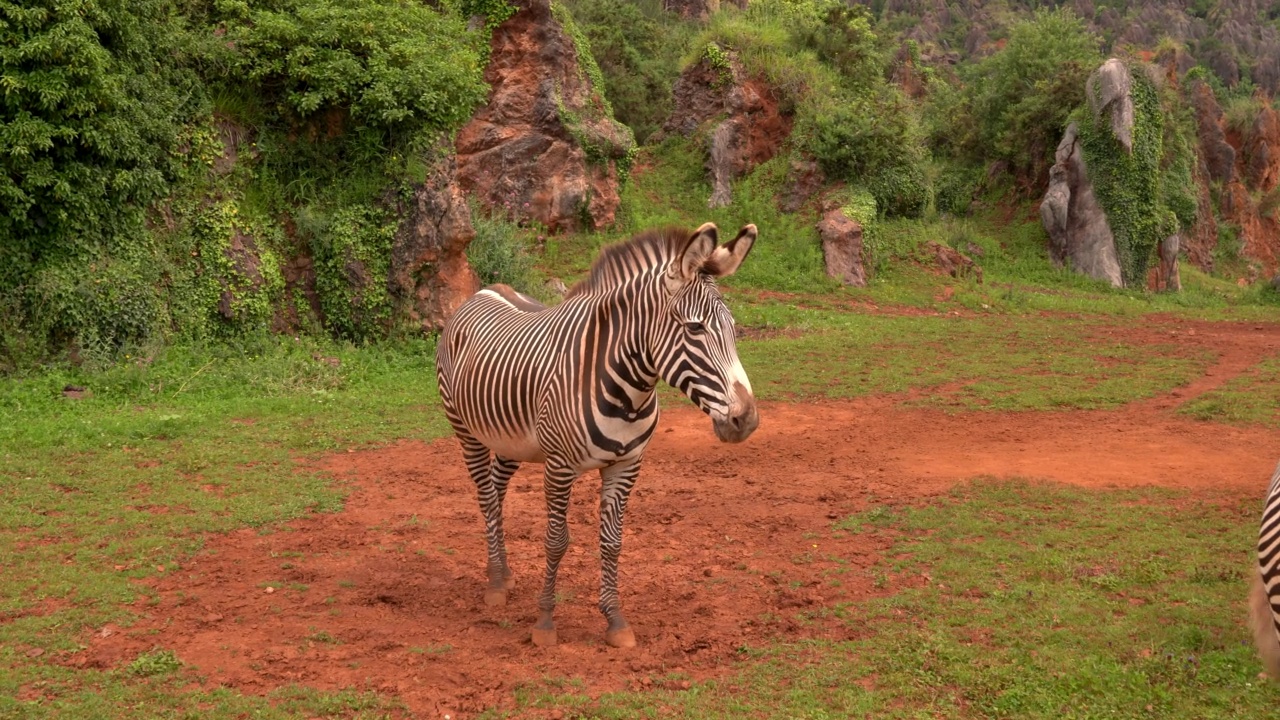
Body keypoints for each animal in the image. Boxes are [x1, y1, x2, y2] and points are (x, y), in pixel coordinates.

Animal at [437, 219, 757, 645]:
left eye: (734, 330)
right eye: (695, 329)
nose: (746, 419)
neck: (628, 391)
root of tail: (483, 290)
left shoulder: (627, 465)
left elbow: (612, 542)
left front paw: (615, 620)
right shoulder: (558, 466)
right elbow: (557, 540)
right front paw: (545, 622)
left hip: (509, 439)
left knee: (497, 491)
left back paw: (503, 573)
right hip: (466, 431)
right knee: (486, 497)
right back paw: (493, 584)